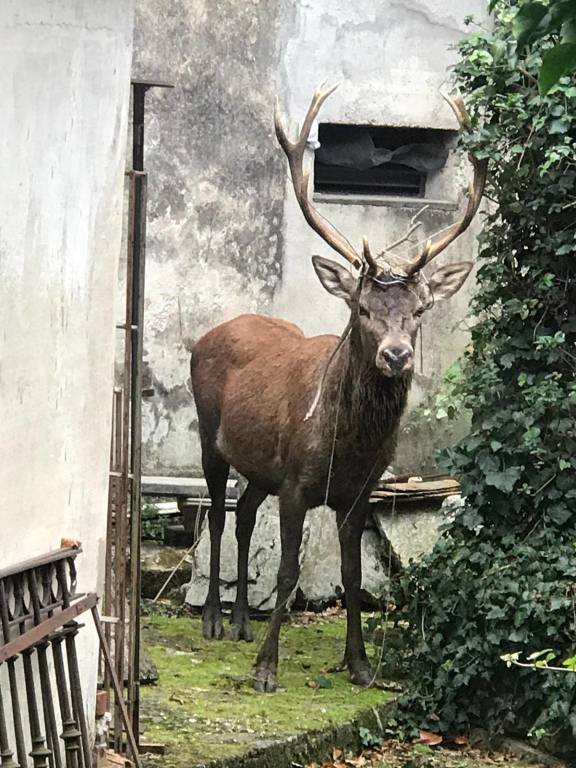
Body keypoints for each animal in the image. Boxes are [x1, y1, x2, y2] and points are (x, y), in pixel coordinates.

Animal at [190, 83, 487, 693]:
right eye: (363, 308)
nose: (396, 354)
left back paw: (241, 622)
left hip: (262, 466)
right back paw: (213, 619)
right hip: (209, 434)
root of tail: (209, 332)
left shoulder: (358, 492)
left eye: (419, 311)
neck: (345, 444)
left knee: (246, 514)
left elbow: (353, 574)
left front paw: (360, 664)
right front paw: (267, 671)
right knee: (219, 512)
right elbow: (287, 570)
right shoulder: (298, 481)